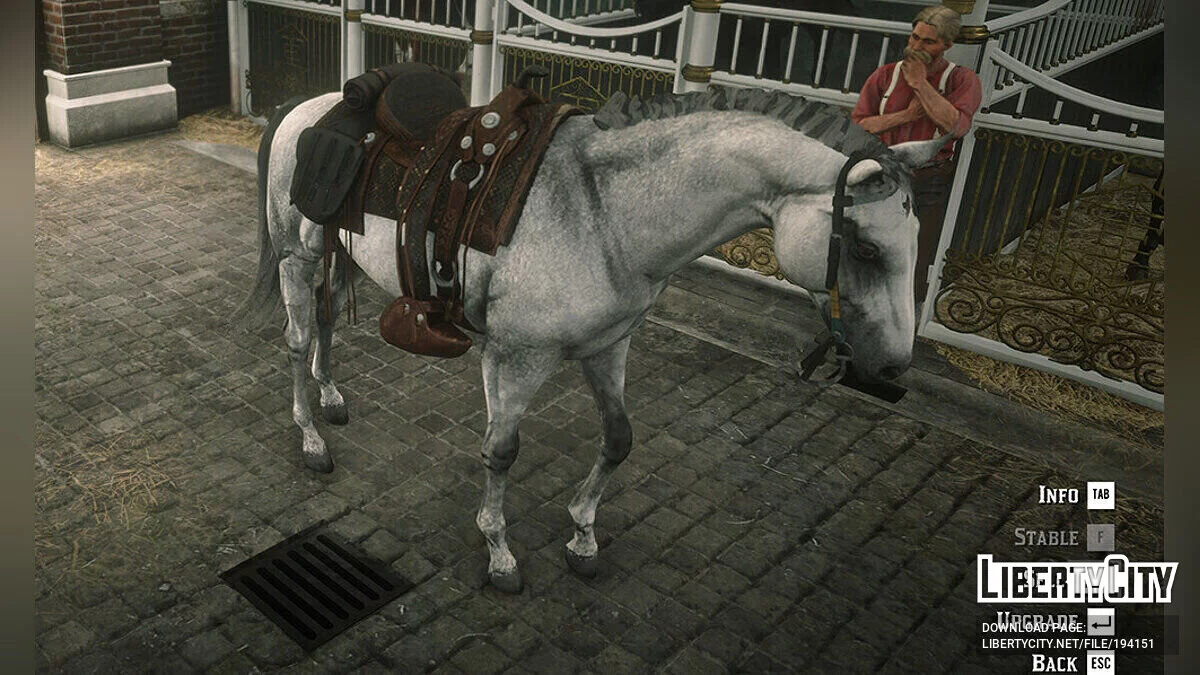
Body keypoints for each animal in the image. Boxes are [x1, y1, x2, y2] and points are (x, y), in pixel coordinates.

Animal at [234, 83, 946, 592]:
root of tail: (308, 107)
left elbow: (619, 438)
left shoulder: (610, 345)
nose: (892, 369)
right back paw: (311, 436)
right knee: (297, 339)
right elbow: (501, 453)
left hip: (339, 252)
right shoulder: (516, 359)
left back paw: (330, 396)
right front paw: (499, 553)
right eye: (864, 246)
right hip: (297, 256)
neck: (606, 213)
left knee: (327, 318)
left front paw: (581, 536)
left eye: (916, 241)